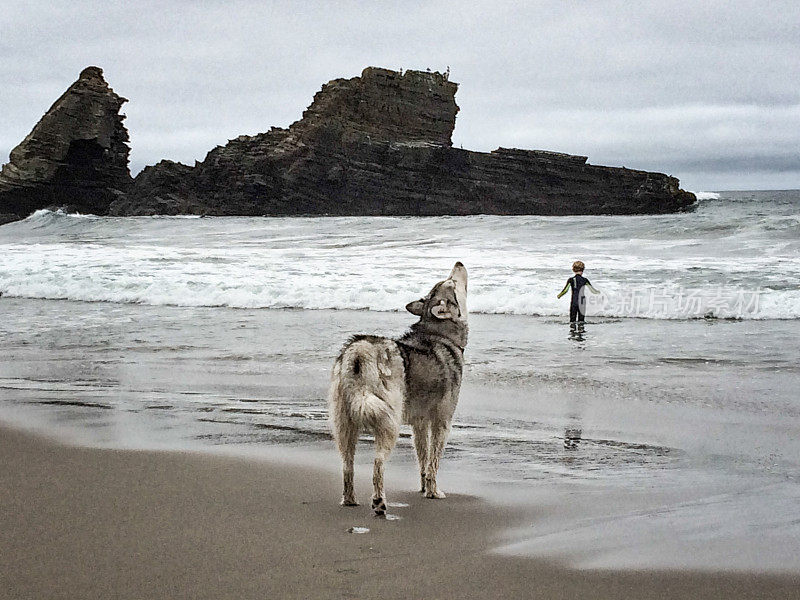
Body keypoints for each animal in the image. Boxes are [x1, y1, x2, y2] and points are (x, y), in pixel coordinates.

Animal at [328, 262, 468, 516]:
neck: (439, 334)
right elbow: (434, 462)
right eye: (452, 281)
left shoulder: (420, 424)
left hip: (343, 425)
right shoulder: (442, 421)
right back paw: (379, 503)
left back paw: (350, 500)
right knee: (377, 465)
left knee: (347, 466)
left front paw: (423, 489)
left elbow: (423, 459)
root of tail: (358, 351)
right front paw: (434, 492)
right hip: (387, 422)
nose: (458, 263)